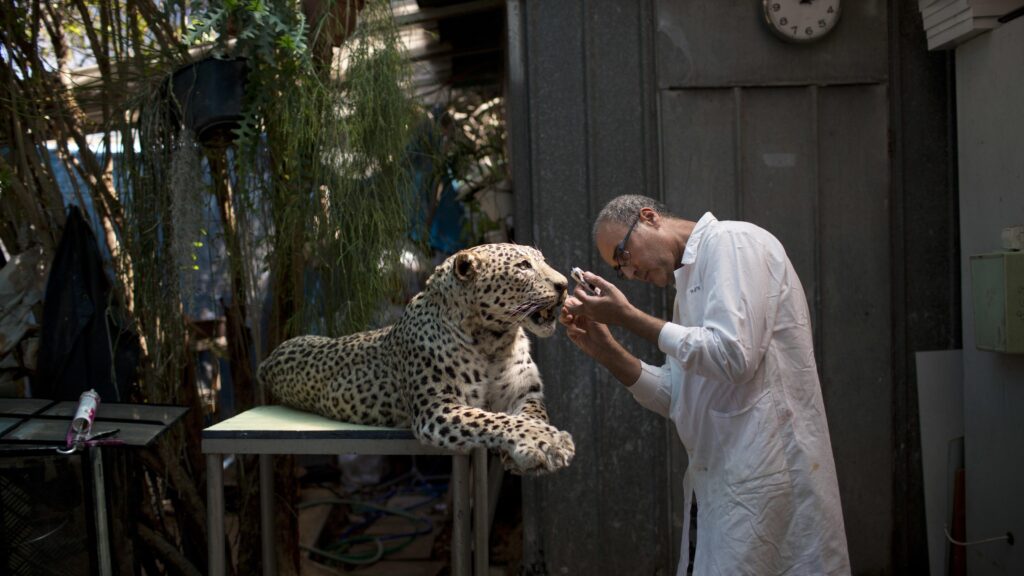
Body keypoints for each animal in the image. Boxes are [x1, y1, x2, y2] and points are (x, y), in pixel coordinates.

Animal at [256, 240, 577, 471]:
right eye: (523, 266)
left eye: (543, 260)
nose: (564, 284)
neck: (494, 342)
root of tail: (267, 360)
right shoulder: (436, 409)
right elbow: (495, 420)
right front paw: (548, 442)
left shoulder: (526, 394)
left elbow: (533, 416)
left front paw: (538, 444)